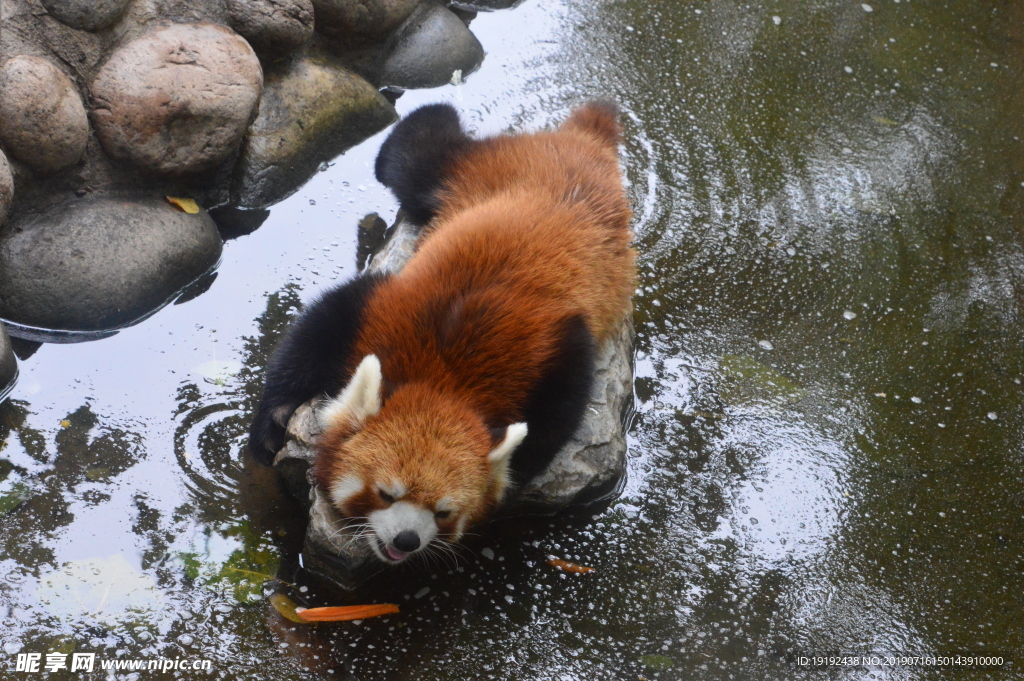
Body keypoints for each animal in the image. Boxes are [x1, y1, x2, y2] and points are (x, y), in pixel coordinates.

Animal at [249, 102, 630, 561]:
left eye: (443, 512)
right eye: (385, 494)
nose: (406, 540)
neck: (443, 377)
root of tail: (578, 141)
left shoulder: (557, 346)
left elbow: (557, 415)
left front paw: (503, 485)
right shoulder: (386, 307)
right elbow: (317, 328)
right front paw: (272, 421)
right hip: (466, 167)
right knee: (412, 150)